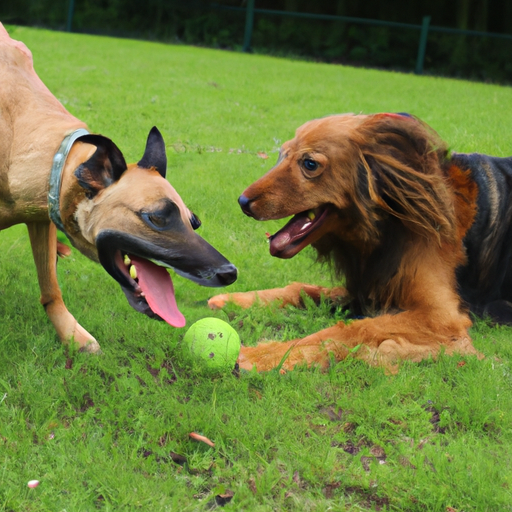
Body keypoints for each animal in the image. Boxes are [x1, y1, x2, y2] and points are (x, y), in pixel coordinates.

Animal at [0, 24, 236, 352]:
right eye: (157, 218)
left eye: (195, 222)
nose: (230, 273)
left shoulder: (41, 218)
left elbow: (51, 287)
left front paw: (71, 334)